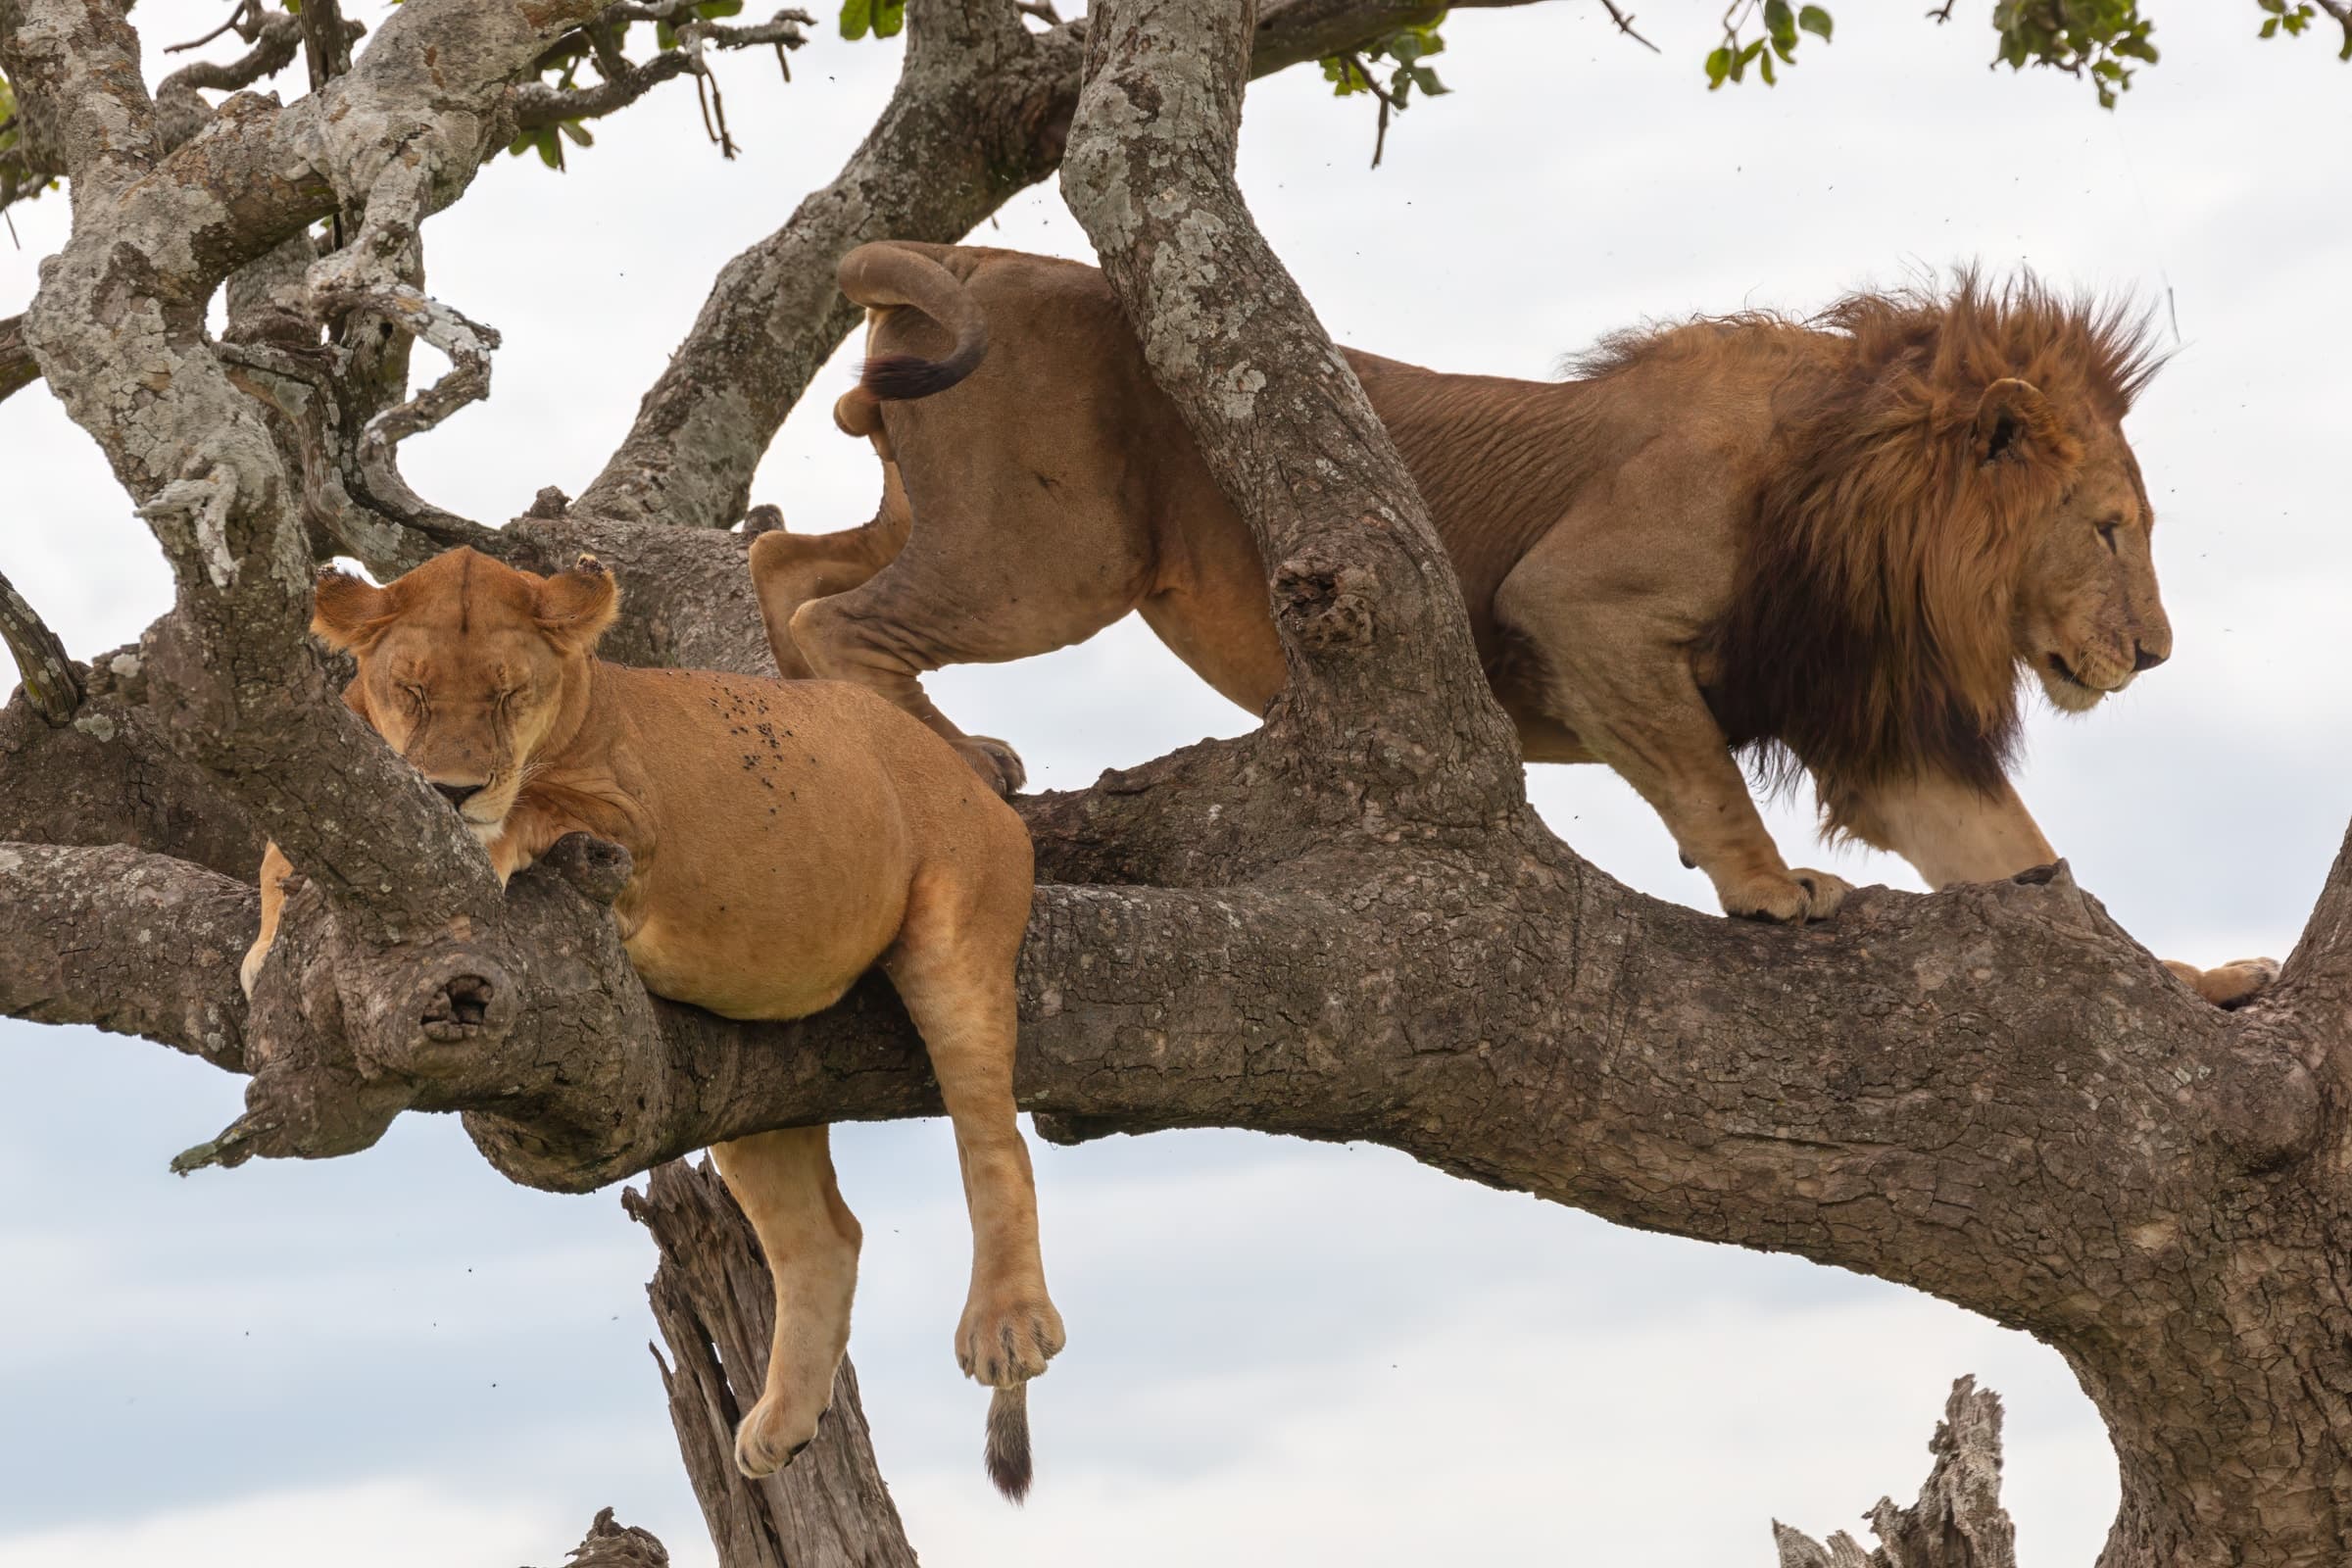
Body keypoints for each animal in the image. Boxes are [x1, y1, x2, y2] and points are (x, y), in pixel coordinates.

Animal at [241, 546, 1062, 1499]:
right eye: (410, 689)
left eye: (508, 694)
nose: (449, 794)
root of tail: (964, 770)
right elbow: (274, 853)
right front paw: (265, 947)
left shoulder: (629, 822)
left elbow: (537, 806)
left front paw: (483, 840)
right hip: (757, 1079)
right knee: (824, 1234)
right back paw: (780, 1425)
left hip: (958, 932)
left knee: (993, 1138)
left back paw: (1006, 1325)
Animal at [749, 242, 2273, 1008]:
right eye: (2109, 528)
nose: (2154, 653)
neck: (1868, 501)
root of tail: (966, 252)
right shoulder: (1582, 597)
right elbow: (1707, 775)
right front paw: (1771, 890)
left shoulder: (1878, 730)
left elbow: (2037, 871)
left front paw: (2200, 979)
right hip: (1057, 553)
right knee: (845, 622)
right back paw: (946, 764)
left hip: (949, 515)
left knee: (784, 569)